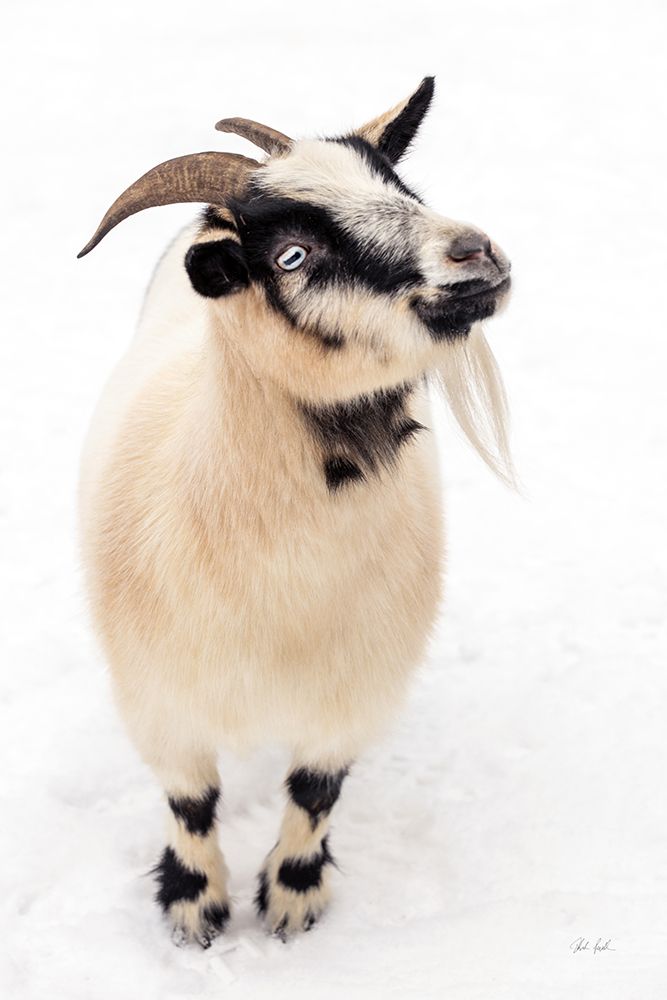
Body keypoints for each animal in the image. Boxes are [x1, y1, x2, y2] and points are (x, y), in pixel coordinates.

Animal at [77, 77, 513, 946]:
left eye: (404, 190)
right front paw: (195, 911)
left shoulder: (355, 690)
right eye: (292, 255)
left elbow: (314, 794)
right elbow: (191, 802)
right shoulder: (156, 698)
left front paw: (291, 902)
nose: (473, 253)